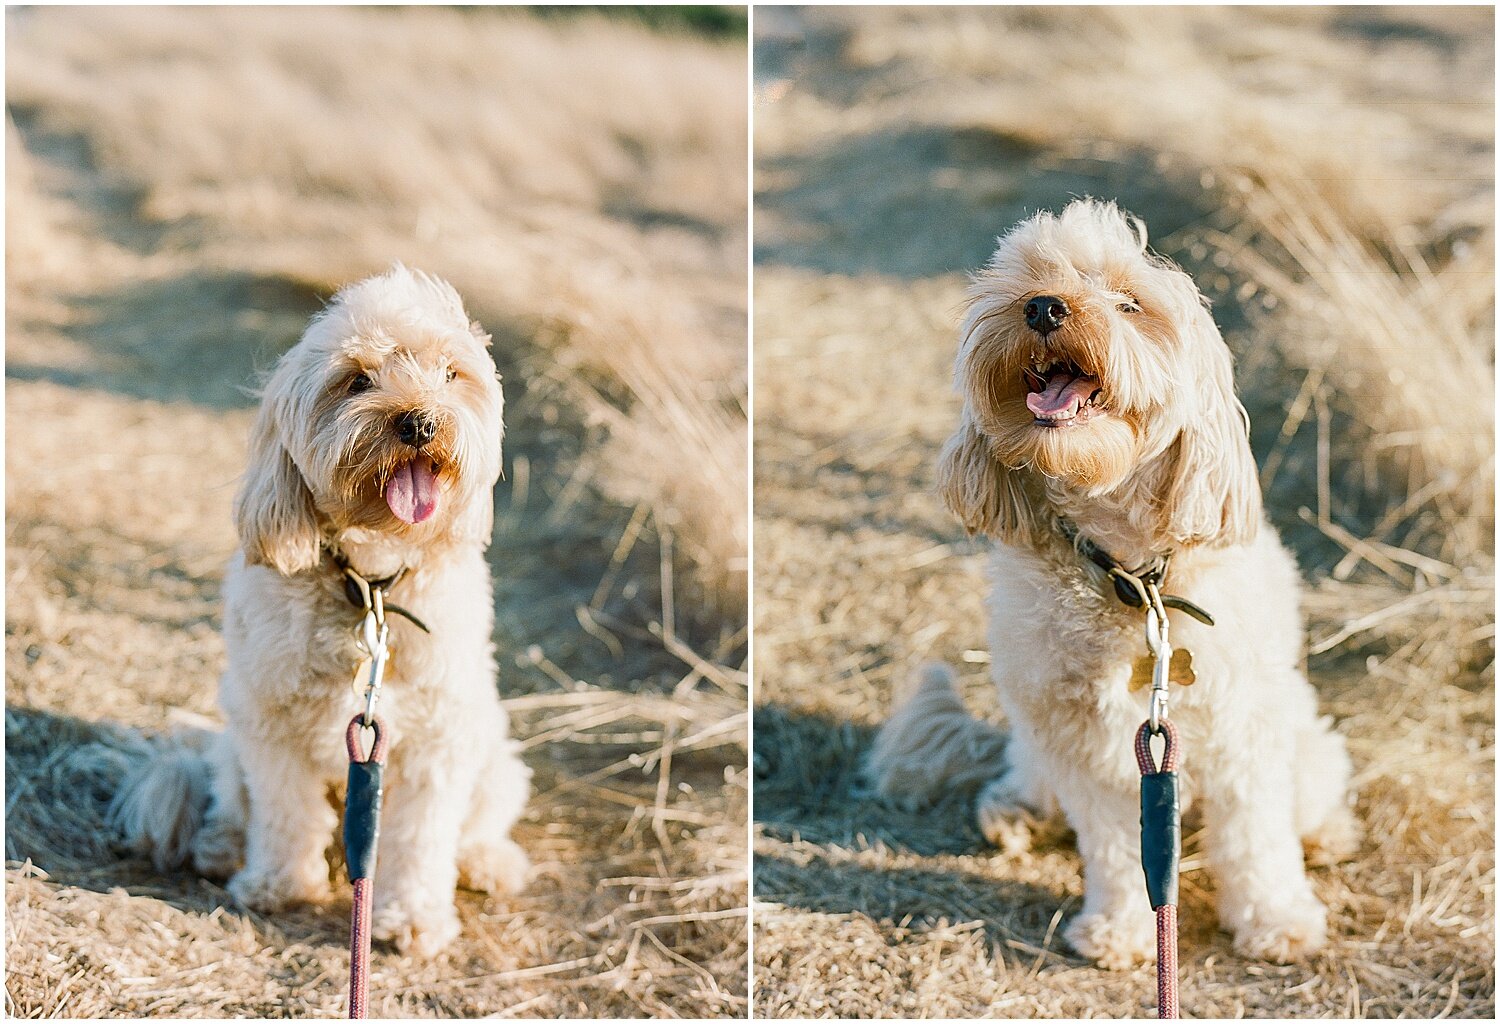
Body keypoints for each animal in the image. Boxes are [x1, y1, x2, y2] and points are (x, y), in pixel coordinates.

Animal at [118, 266, 540, 959]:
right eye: (358, 379)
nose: (420, 423)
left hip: (494, 759)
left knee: (477, 826)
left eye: (450, 374)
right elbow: (285, 812)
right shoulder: (271, 723)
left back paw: (488, 860)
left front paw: (413, 916)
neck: (368, 586)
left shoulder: (437, 740)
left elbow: (421, 839)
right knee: (232, 801)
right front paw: (280, 884)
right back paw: (221, 847)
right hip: (234, 740)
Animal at [858, 197, 1362, 971]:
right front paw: (1122, 930)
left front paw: (1276, 920)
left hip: (1299, 735)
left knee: (1310, 789)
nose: (1042, 307)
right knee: (1024, 777)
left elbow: (1256, 840)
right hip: (1037, 738)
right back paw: (1012, 814)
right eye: (1027, 281)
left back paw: (1328, 832)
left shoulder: (1244, 728)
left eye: (1130, 304)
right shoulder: (1086, 746)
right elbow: (1120, 850)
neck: (1132, 578)